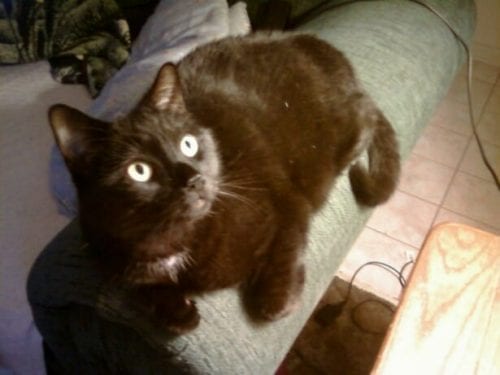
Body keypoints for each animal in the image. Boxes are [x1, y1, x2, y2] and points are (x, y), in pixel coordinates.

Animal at [48, 32, 400, 334]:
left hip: (340, 129)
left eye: (188, 144)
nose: (195, 180)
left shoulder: (286, 198)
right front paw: (176, 311)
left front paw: (276, 299)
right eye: (139, 171)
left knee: (367, 118)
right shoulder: (104, 252)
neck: (175, 239)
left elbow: (287, 246)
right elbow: (141, 287)